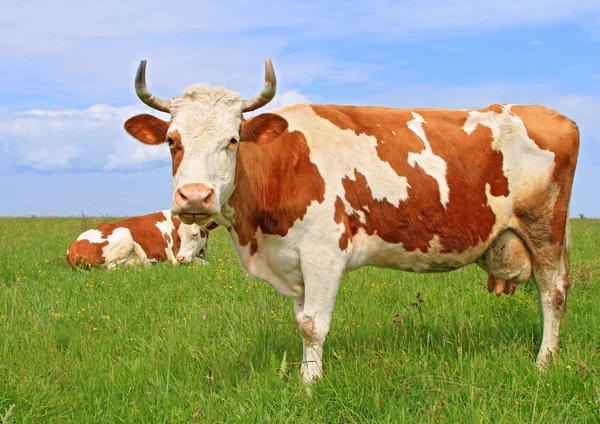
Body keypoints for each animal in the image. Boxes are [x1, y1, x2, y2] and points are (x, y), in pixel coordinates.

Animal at [67, 211, 216, 270]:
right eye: (179, 236)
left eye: (195, 234)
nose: (181, 258)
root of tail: (71, 249)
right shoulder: (175, 255)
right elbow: (206, 264)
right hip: (124, 233)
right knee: (113, 267)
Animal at [124, 58, 580, 386]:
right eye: (172, 141)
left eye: (232, 140)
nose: (194, 196)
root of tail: (553, 115)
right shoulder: (293, 262)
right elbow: (300, 320)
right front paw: (306, 374)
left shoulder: (323, 254)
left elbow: (313, 325)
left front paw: (310, 384)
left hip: (544, 230)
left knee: (552, 294)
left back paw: (544, 362)